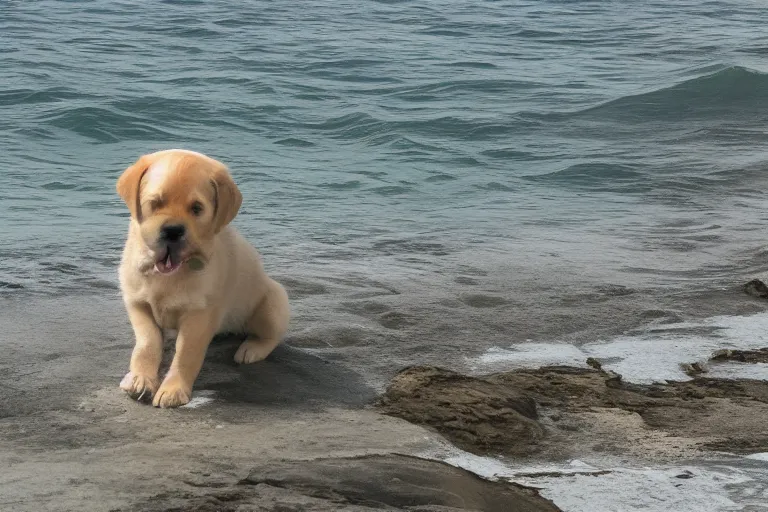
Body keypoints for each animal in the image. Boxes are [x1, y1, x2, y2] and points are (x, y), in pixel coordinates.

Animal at [115, 148, 290, 408]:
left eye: (196, 208)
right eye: (155, 203)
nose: (172, 231)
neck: (169, 273)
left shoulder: (200, 314)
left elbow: (186, 354)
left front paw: (173, 389)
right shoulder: (137, 302)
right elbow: (147, 342)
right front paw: (141, 379)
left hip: (273, 302)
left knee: (271, 335)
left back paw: (251, 349)